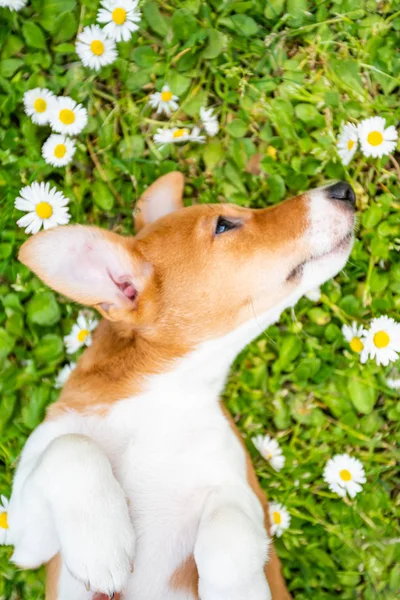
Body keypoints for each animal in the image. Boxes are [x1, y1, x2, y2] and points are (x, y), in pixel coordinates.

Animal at [6, 173, 354, 600]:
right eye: (224, 224)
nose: (345, 190)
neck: (162, 406)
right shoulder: (27, 541)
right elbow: (70, 446)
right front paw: (101, 545)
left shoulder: (244, 495)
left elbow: (230, 533)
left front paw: (236, 588)